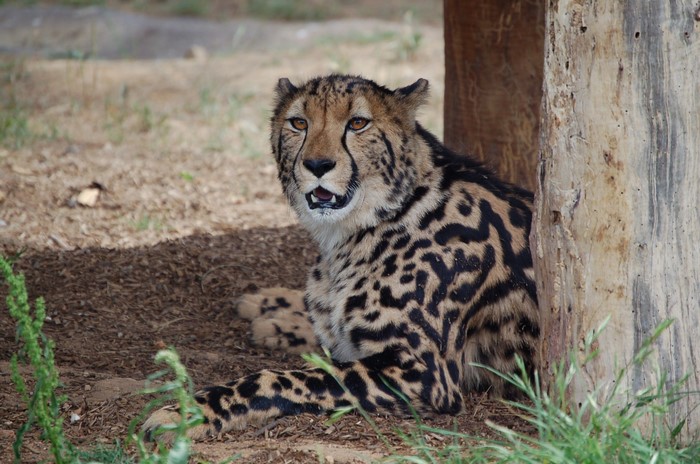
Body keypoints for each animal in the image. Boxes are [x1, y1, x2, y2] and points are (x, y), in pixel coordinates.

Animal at [143, 74, 539, 440]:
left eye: (358, 123)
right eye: (298, 123)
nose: (318, 164)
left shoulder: (425, 373)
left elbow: (288, 377)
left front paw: (190, 411)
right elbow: (324, 336)